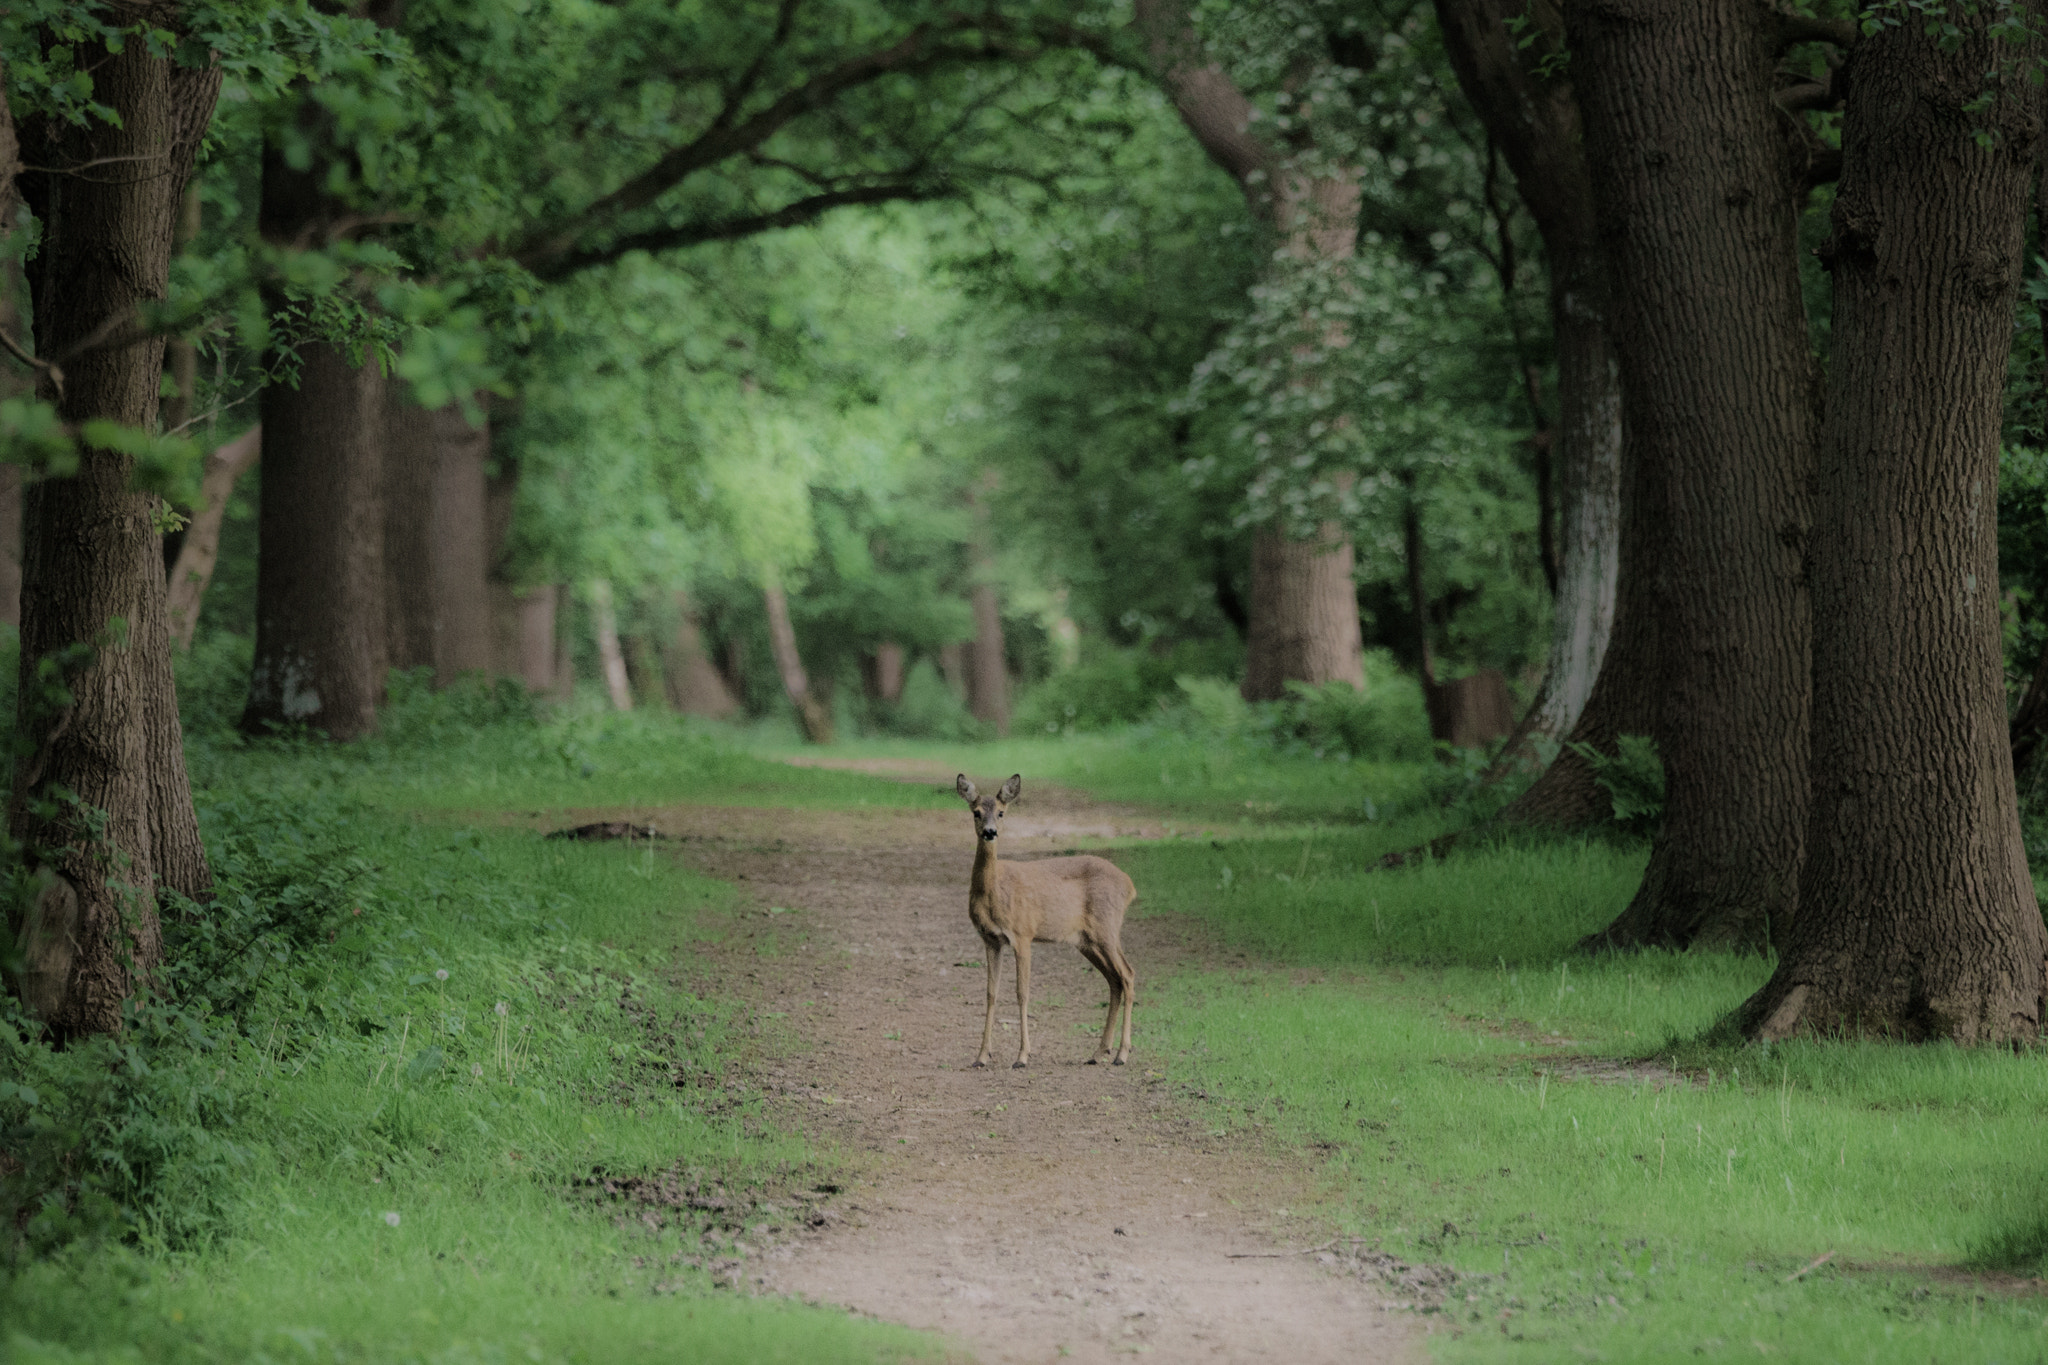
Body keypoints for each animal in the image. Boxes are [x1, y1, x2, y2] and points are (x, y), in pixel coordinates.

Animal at [954, 773, 1138, 1072]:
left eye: (1002, 812)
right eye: (976, 812)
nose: (990, 832)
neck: (994, 892)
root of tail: (1130, 885)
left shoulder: (1023, 934)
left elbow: (1022, 992)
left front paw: (1022, 1057)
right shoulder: (991, 939)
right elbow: (991, 993)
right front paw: (981, 1056)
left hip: (1107, 928)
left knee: (1128, 974)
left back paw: (1121, 1054)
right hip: (1086, 940)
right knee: (1114, 979)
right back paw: (1099, 1052)